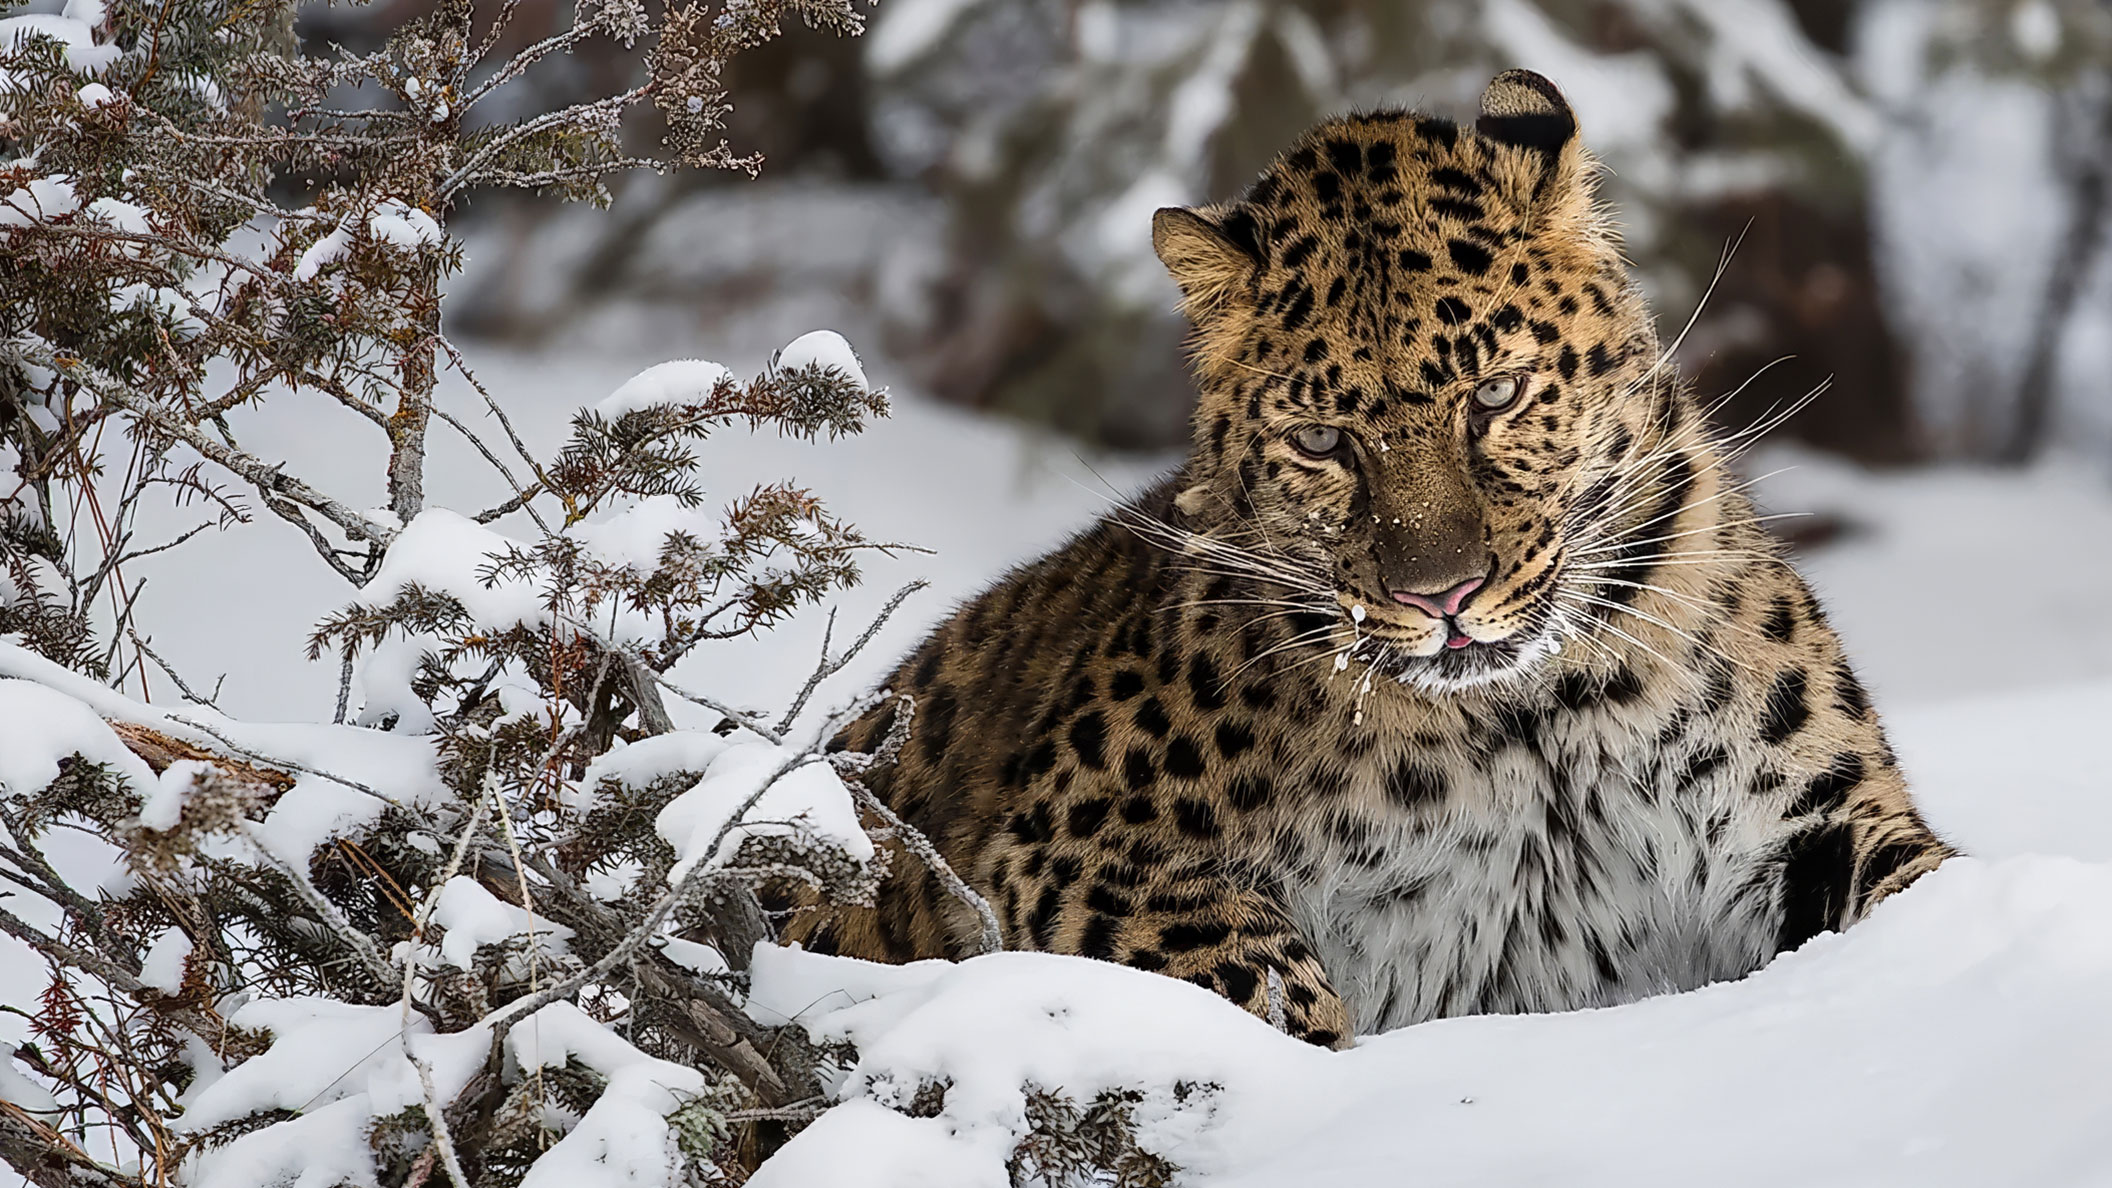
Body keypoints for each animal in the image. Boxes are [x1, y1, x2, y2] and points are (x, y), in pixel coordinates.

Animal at [785, 71, 1951, 1044]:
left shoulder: (1809, 822)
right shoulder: (1069, 845)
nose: (1446, 597)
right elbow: (1257, 975)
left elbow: (1924, 885)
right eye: (1321, 442)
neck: (1531, 728)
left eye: (1496, 394)